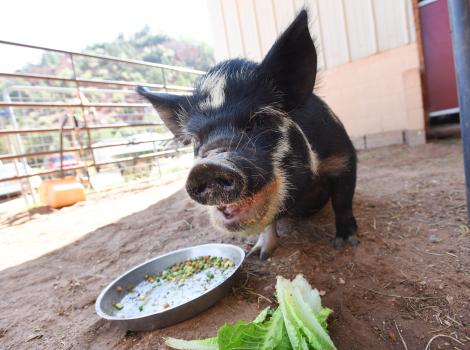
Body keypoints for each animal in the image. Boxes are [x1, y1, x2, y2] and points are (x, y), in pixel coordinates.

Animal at [138, 9, 358, 260]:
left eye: (258, 120)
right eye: (196, 139)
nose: (207, 167)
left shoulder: (342, 157)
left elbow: (343, 200)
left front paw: (347, 242)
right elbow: (268, 222)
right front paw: (259, 254)